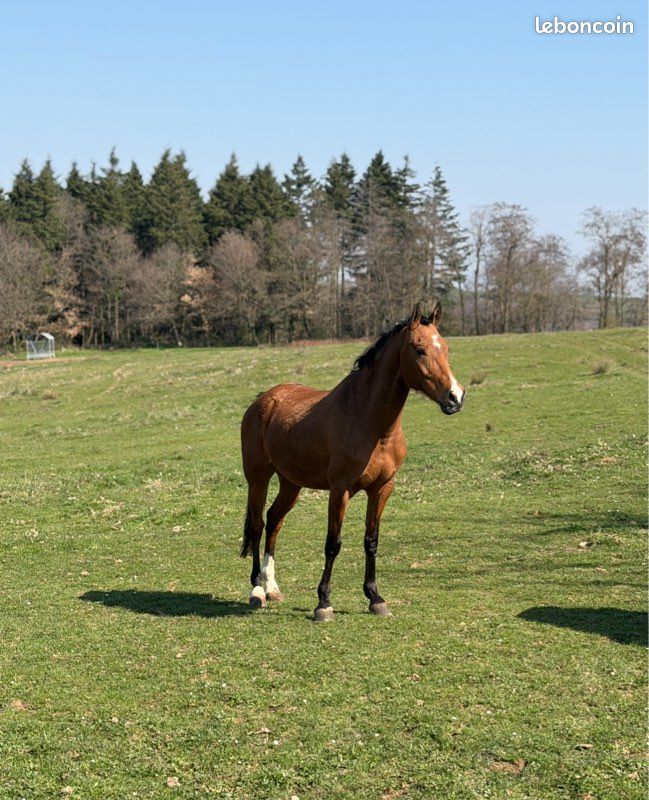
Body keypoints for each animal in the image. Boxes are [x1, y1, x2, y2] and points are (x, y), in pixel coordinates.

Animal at [239, 303, 465, 621]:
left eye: (445, 347)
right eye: (420, 350)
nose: (455, 397)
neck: (372, 426)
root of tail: (263, 400)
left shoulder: (382, 488)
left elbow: (371, 541)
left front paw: (375, 598)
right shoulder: (340, 490)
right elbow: (333, 544)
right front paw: (323, 603)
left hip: (290, 483)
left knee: (274, 521)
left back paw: (272, 588)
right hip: (258, 478)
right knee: (259, 525)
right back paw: (257, 590)